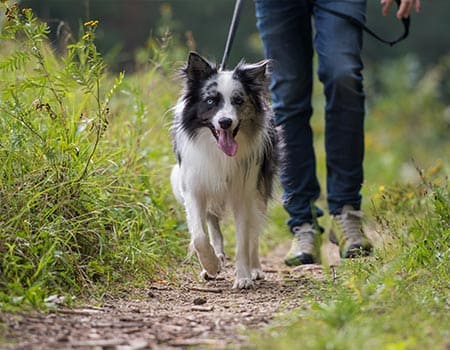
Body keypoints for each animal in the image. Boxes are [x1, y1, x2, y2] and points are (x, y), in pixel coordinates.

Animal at [171, 51, 278, 288]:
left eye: (238, 100)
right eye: (211, 101)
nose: (225, 122)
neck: (219, 151)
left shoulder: (244, 193)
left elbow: (243, 240)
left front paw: (244, 277)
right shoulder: (194, 188)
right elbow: (199, 236)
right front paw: (211, 265)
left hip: (259, 190)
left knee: (254, 233)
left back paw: (255, 268)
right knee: (212, 224)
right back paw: (216, 259)